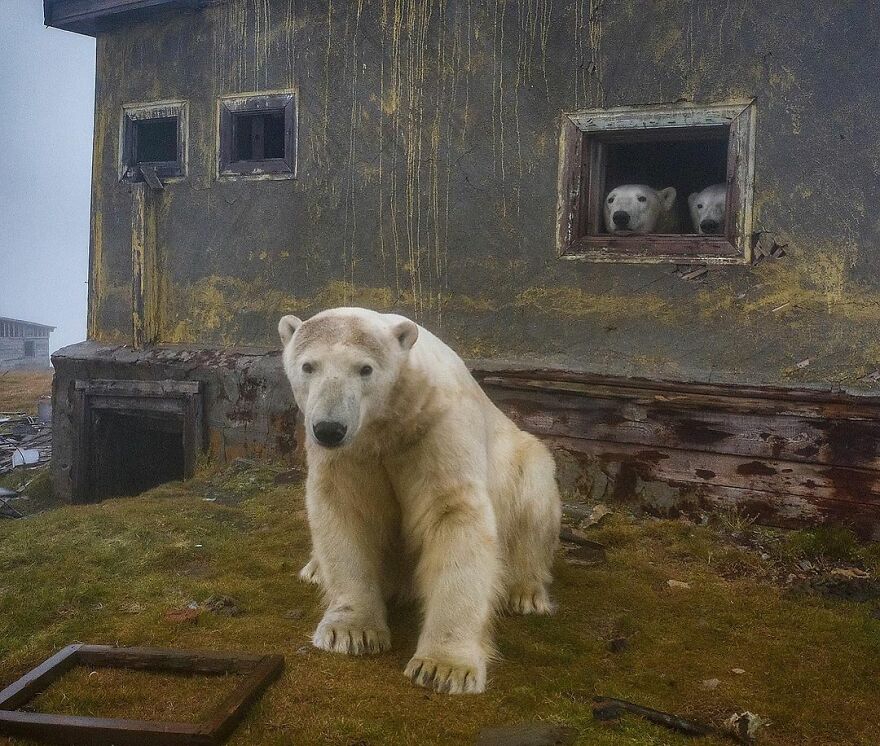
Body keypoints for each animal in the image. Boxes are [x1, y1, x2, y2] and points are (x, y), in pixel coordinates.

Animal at [278, 304, 560, 692]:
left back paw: (526, 593)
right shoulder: (351, 453)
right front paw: (350, 632)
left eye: (365, 368)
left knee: (534, 501)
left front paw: (444, 667)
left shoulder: (436, 429)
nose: (330, 429)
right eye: (308, 366)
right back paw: (315, 570)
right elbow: (346, 510)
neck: (389, 423)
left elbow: (452, 513)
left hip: (523, 461)